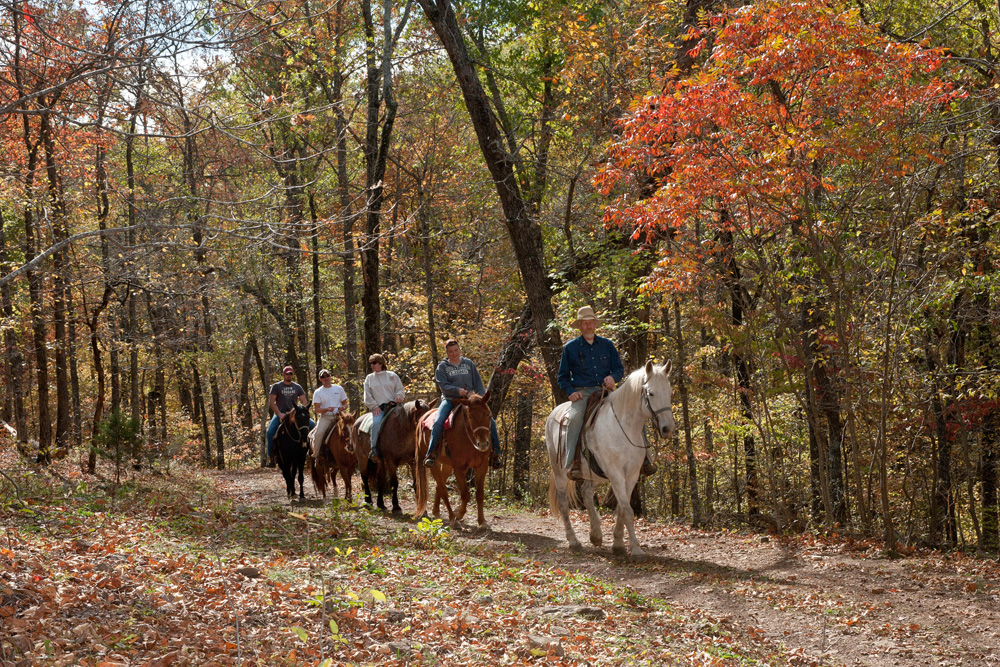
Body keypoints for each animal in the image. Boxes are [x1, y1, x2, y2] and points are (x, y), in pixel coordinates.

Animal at [414, 394, 492, 528]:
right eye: (470, 416)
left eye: (488, 414)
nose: (482, 444)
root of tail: (423, 417)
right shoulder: (459, 469)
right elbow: (465, 494)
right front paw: (459, 514)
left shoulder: (482, 466)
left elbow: (479, 494)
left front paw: (482, 521)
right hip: (434, 464)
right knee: (443, 489)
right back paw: (452, 518)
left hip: (447, 465)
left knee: (439, 487)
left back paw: (436, 512)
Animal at [544, 360, 676, 560]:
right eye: (651, 393)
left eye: (669, 392)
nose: (668, 429)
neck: (624, 427)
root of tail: (555, 413)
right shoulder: (616, 474)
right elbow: (627, 510)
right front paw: (636, 549)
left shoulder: (632, 475)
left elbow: (622, 508)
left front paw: (618, 544)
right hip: (559, 471)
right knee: (563, 503)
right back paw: (574, 542)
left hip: (592, 473)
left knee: (587, 493)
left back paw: (596, 535)